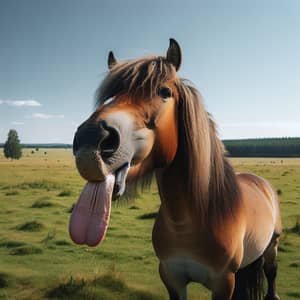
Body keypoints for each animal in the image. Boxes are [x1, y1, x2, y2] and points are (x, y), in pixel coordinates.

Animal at [69, 38, 282, 298]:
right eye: (110, 97)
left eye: (165, 92)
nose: (90, 140)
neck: (188, 223)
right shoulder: (171, 277)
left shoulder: (224, 282)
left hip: (272, 248)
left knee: (271, 274)